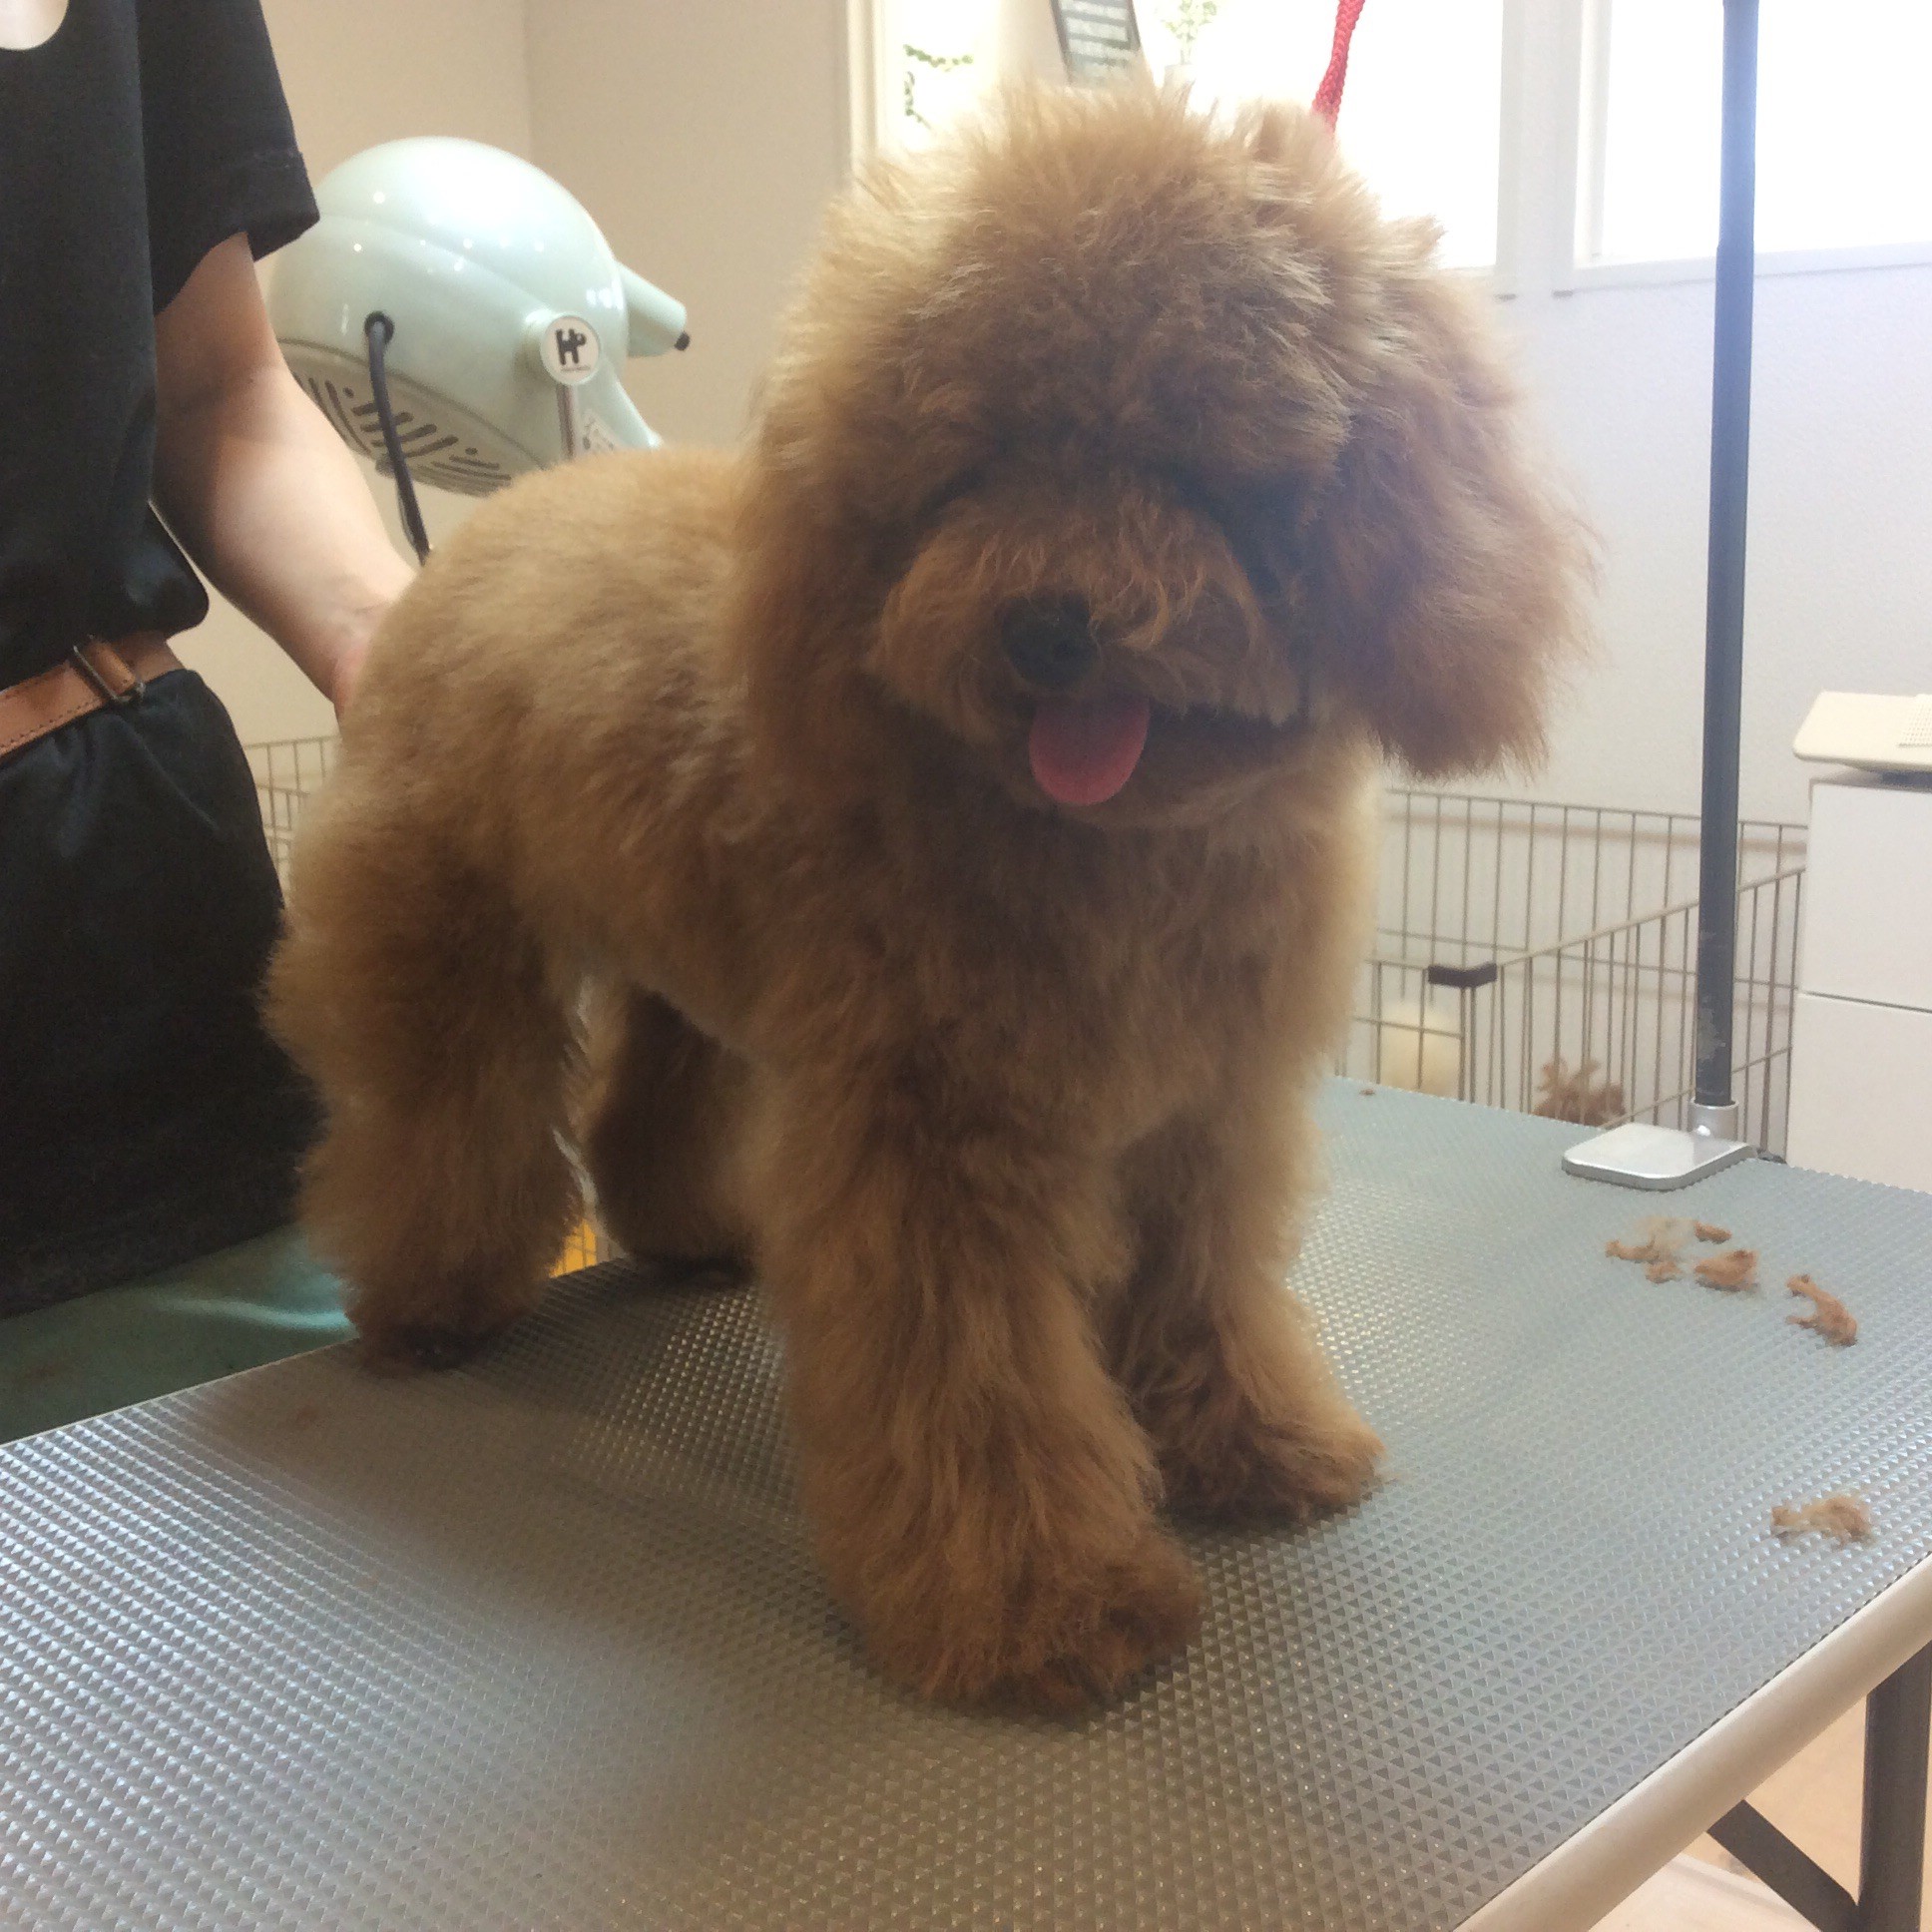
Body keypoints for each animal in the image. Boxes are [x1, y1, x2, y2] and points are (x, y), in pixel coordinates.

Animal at [268, 84, 1584, 1711]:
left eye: (1192, 455)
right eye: (978, 466)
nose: (1049, 627)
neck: (1121, 845)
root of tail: (478, 538)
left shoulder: (1205, 1111)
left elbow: (1206, 1286)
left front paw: (1254, 1442)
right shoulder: (937, 1140)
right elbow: (974, 1386)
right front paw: (1040, 1602)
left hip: (699, 961)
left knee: (648, 1106)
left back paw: (694, 1232)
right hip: (452, 944)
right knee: (444, 1123)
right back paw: (429, 1304)